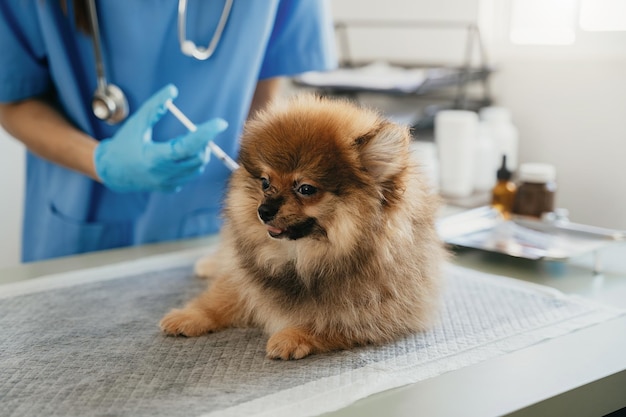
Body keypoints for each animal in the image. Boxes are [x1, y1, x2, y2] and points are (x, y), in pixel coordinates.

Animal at [158, 94, 446, 358]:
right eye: (265, 182)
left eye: (305, 189)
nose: (263, 211)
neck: (301, 257)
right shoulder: (241, 277)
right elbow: (221, 297)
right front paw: (189, 315)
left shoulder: (386, 309)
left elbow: (335, 322)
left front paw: (292, 336)